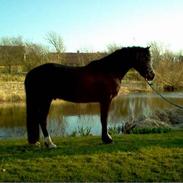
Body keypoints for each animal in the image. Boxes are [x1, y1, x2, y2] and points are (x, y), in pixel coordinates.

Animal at [24, 46, 154, 148]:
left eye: (150, 58)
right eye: (144, 59)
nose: (152, 75)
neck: (109, 70)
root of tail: (31, 73)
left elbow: (103, 119)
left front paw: (106, 138)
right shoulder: (106, 100)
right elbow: (104, 119)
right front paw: (107, 139)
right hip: (45, 100)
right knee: (42, 120)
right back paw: (50, 144)